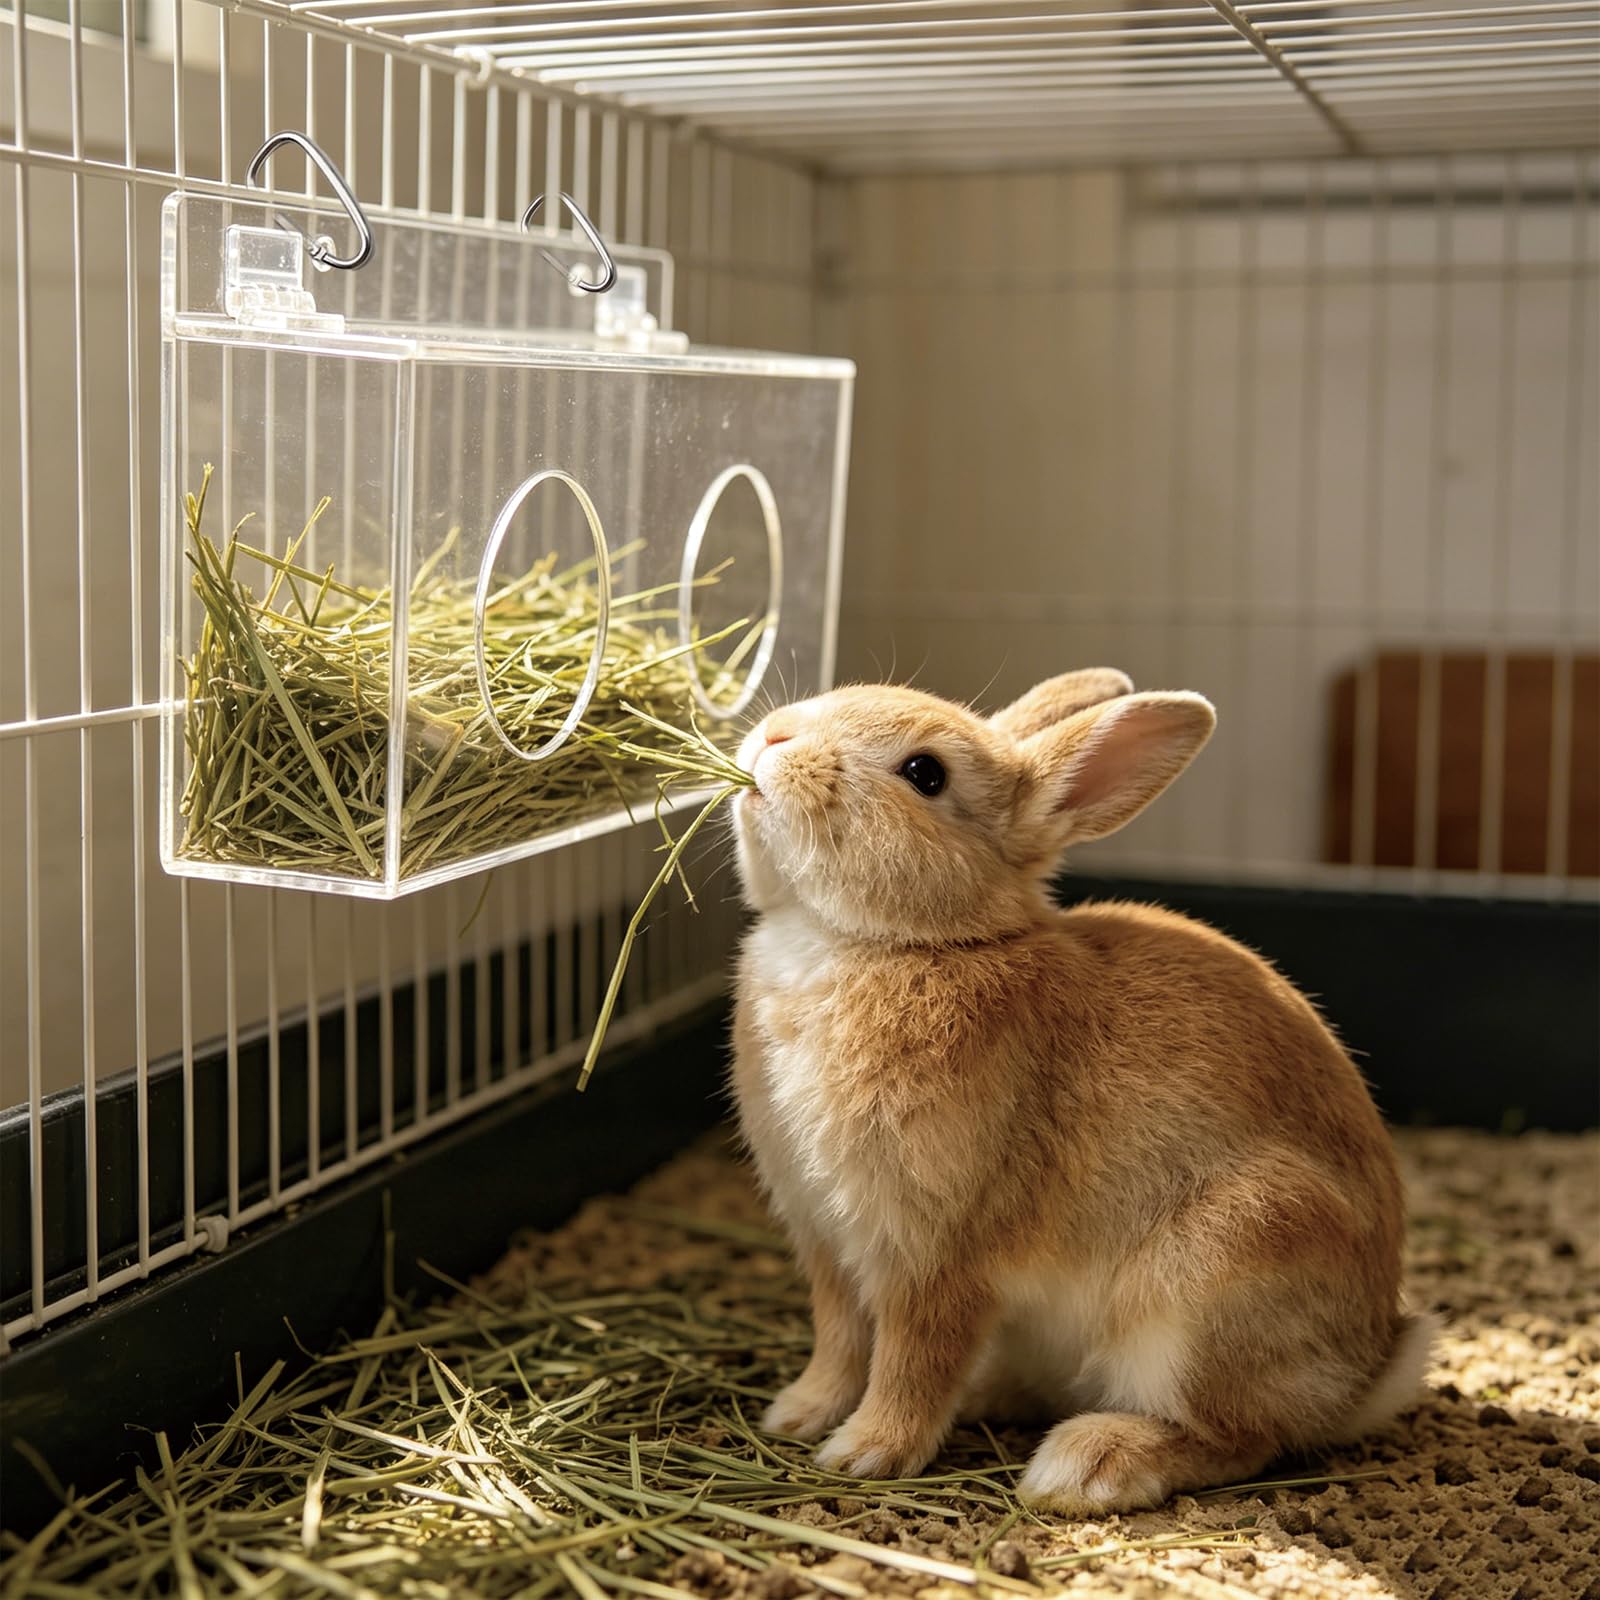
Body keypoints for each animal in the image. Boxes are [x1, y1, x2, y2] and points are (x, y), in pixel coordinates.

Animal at [728, 668, 1435, 1514]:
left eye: (925, 774)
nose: (776, 735)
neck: (903, 943)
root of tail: (1366, 1372)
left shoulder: (935, 1251)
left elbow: (911, 1358)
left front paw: (865, 1452)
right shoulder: (825, 1240)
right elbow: (839, 1342)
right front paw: (797, 1414)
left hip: (1219, 1274)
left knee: (1241, 1438)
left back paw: (1089, 1464)